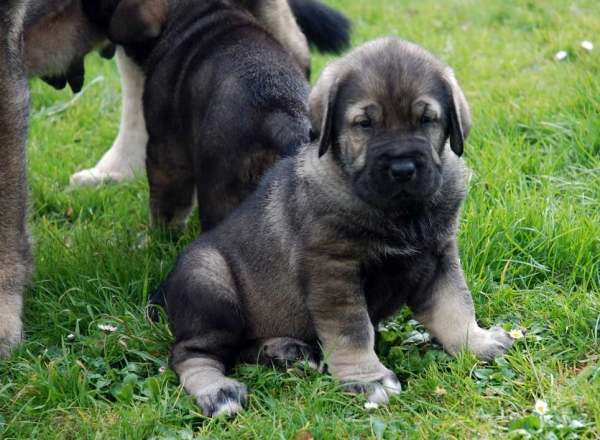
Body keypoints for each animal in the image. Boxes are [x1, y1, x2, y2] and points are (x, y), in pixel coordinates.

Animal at [151, 37, 516, 416]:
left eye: (427, 120)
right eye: (364, 124)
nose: (402, 168)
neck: (399, 212)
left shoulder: (439, 257)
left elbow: (455, 305)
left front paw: (477, 342)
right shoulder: (334, 272)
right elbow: (352, 330)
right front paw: (367, 378)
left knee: (241, 349)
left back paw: (287, 352)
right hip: (210, 282)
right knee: (191, 355)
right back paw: (219, 391)